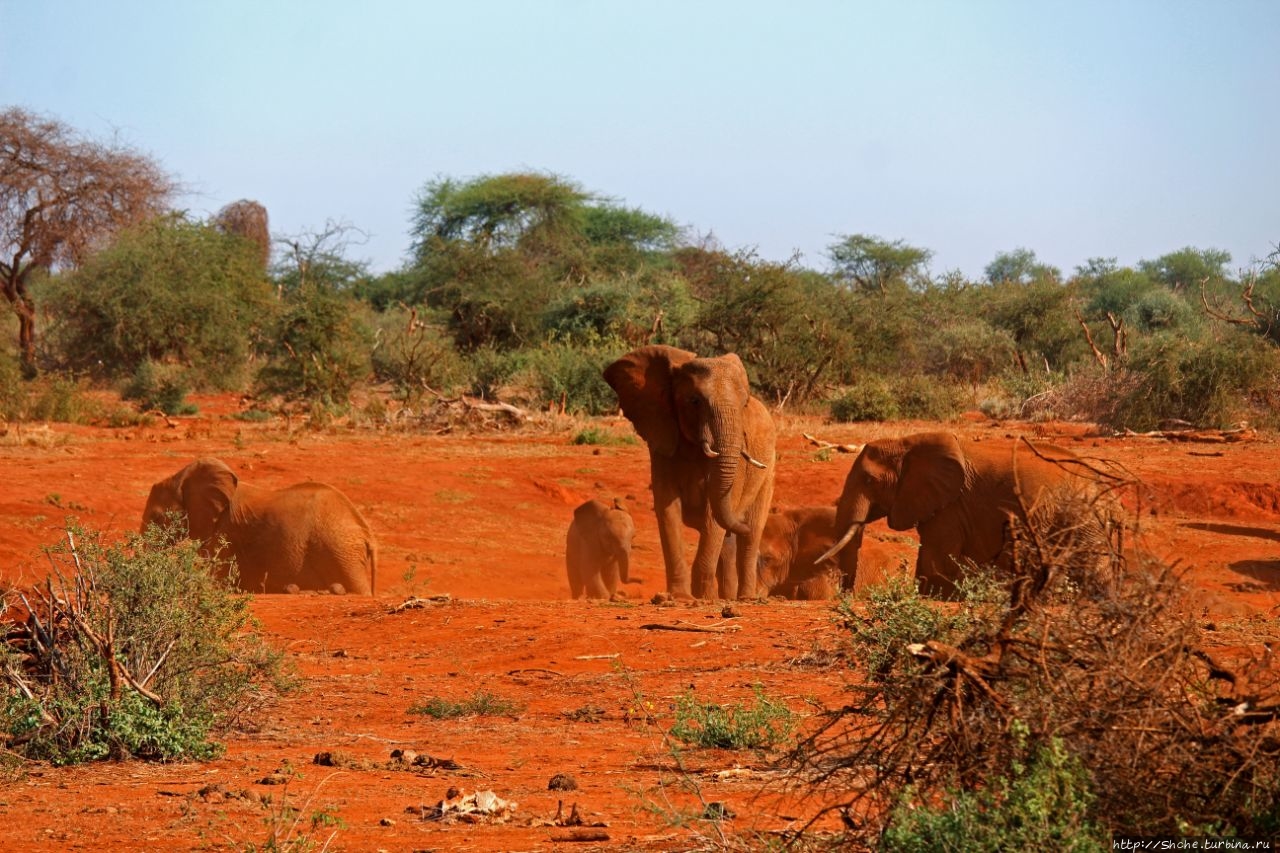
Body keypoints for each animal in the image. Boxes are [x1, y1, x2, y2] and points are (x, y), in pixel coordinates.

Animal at [601, 345, 773, 596]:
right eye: (695, 401)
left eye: (744, 405)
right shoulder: (662, 439)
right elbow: (667, 507)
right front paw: (680, 596)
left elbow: (714, 514)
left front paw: (700, 597)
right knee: (730, 542)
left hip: (767, 474)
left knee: (750, 537)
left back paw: (744, 597)